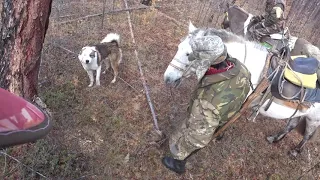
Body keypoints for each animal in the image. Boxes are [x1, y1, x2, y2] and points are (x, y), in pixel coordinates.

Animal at [164, 21, 320, 156]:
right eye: (178, 47)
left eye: (189, 54)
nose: (168, 78)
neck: (247, 67)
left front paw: (217, 137)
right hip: (299, 112)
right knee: (291, 125)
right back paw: (274, 138)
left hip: (313, 119)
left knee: (307, 135)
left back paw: (295, 151)